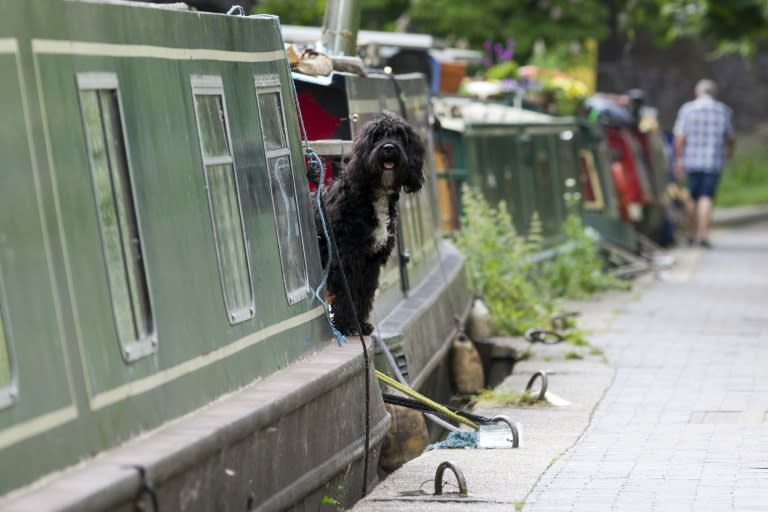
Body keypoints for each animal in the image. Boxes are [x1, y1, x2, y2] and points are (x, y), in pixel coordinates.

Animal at [318, 113, 426, 336]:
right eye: (376, 137)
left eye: (400, 137)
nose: (389, 148)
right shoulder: (347, 259)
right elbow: (348, 294)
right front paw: (347, 326)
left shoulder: (370, 261)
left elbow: (363, 294)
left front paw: (360, 325)